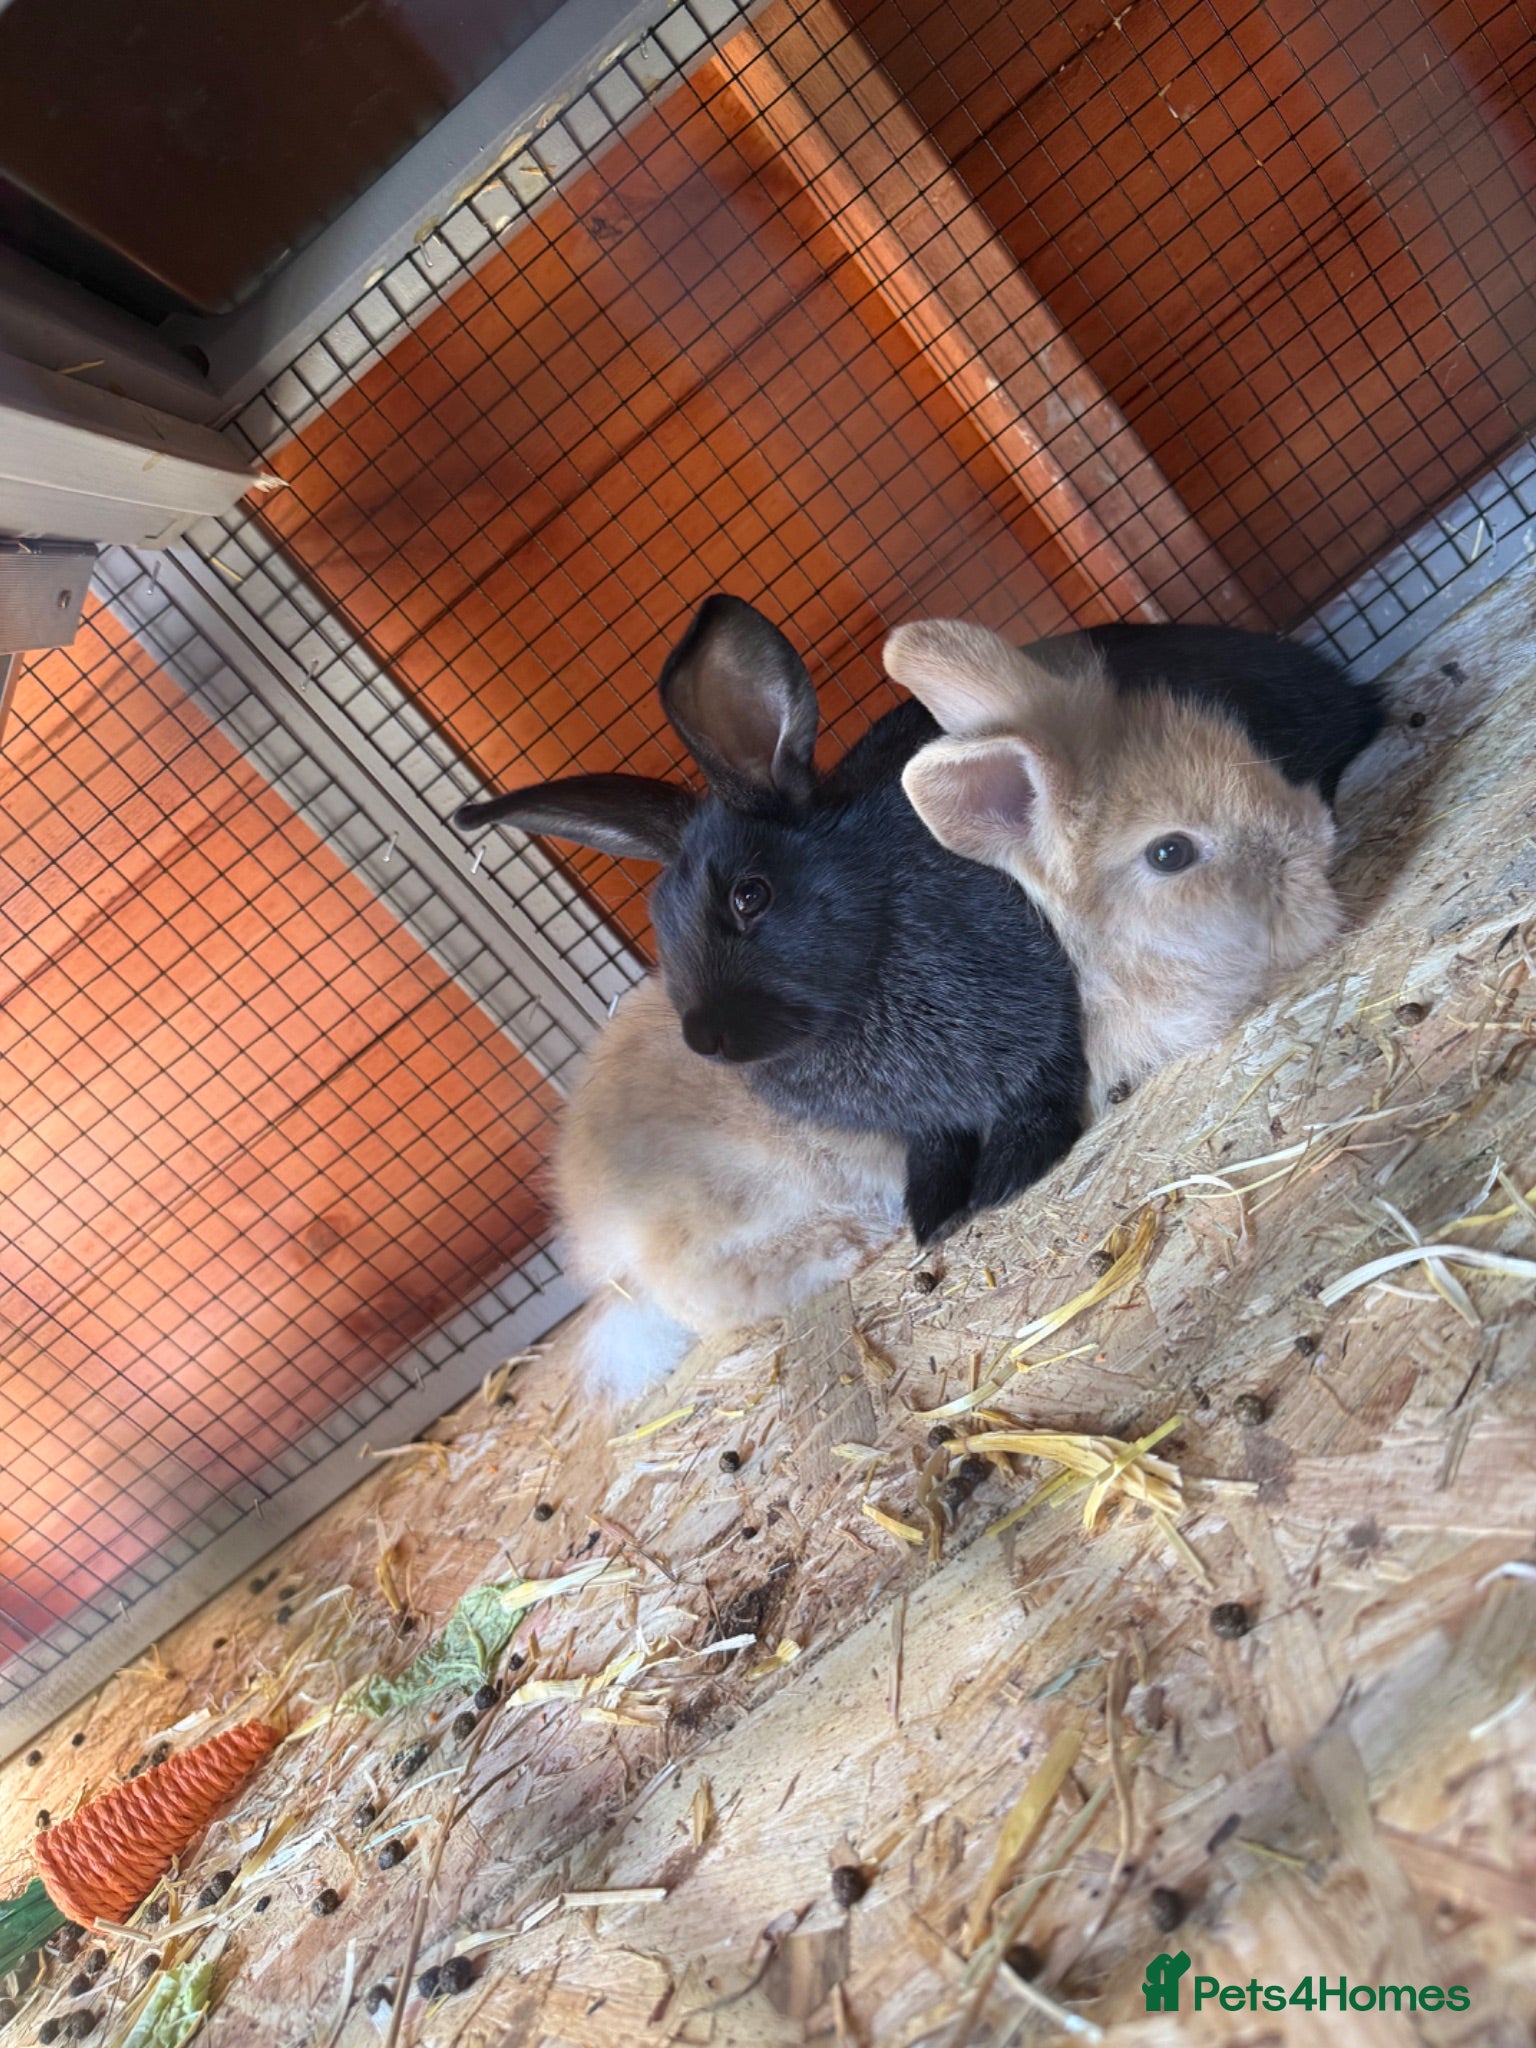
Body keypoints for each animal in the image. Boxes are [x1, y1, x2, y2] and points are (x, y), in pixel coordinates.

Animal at [453, 595, 1089, 1248]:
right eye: (659, 923)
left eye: (749, 896)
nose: (704, 1037)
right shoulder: (929, 1123)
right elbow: (939, 1145)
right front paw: (933, 1216)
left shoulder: (1042, 1013)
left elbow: (1039, 1088)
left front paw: (1008, 1176)